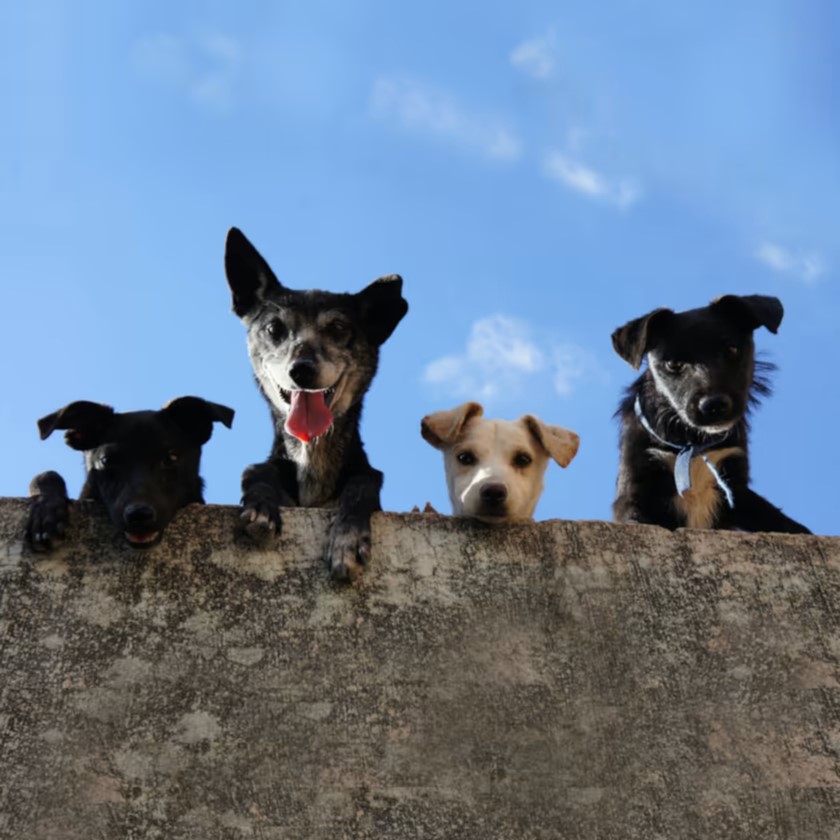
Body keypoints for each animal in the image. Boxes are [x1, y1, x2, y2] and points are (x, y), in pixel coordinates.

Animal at [223, 226, 406, 580]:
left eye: (337, 328)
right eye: (274, 328)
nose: (302, 370)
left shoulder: (364, 479)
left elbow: (363, 483)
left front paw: (347, 539)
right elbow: (256, 471)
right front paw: (261, 507)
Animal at [612, 296, 812, 532]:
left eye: (732, 349)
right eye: (673, 363)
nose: (714, 405)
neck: (693, 444)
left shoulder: (736, 488)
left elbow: (783, 522)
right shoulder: (635, 487)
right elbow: (635, 518)